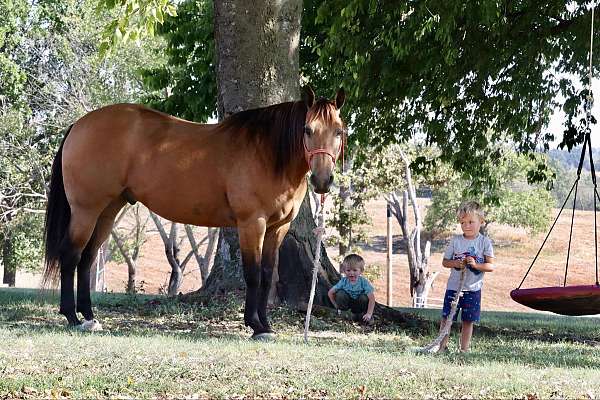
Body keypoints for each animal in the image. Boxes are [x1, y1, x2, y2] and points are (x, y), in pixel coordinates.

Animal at [43, 87, 346, 338]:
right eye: (307, 129)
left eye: (339, 131)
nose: (322, 181)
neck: (268, 153)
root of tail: (80, 124)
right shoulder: (252, 223)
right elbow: (253, 274)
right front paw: (255, 325)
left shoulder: (277, 228)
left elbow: (268, 274)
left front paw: (266, 325)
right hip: (86, 210)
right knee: (71, 255)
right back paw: (71, 316)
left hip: (107, 211)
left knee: (87, 258)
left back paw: (89, 316)